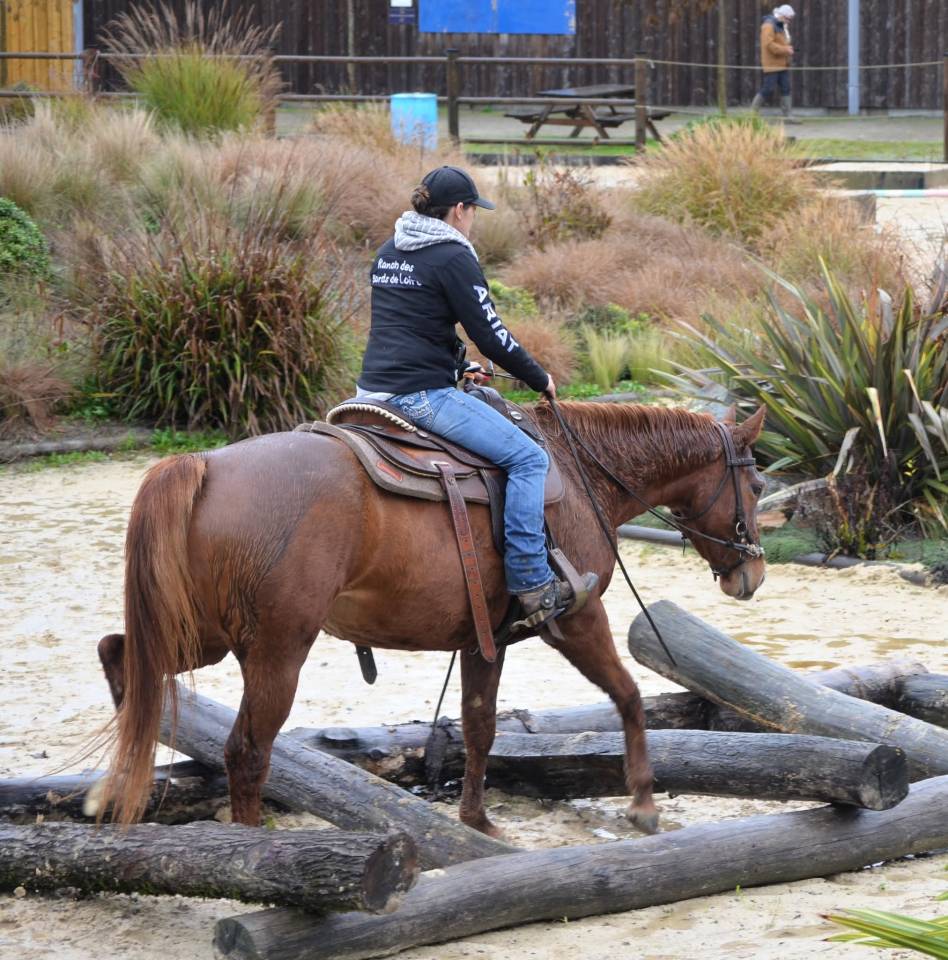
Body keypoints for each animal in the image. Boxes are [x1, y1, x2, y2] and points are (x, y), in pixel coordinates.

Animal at [96, 400, 768, 836]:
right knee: (247, 752)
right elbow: (628, 695)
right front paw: (644, 802)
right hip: (277, 649)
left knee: (122, 657)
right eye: (759, 486)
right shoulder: (577, 617)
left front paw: (477, 821)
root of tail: (203, 463)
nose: (752, 574)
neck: (578, 475)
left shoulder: (482, 641)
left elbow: (479, 726)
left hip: (204, 634)